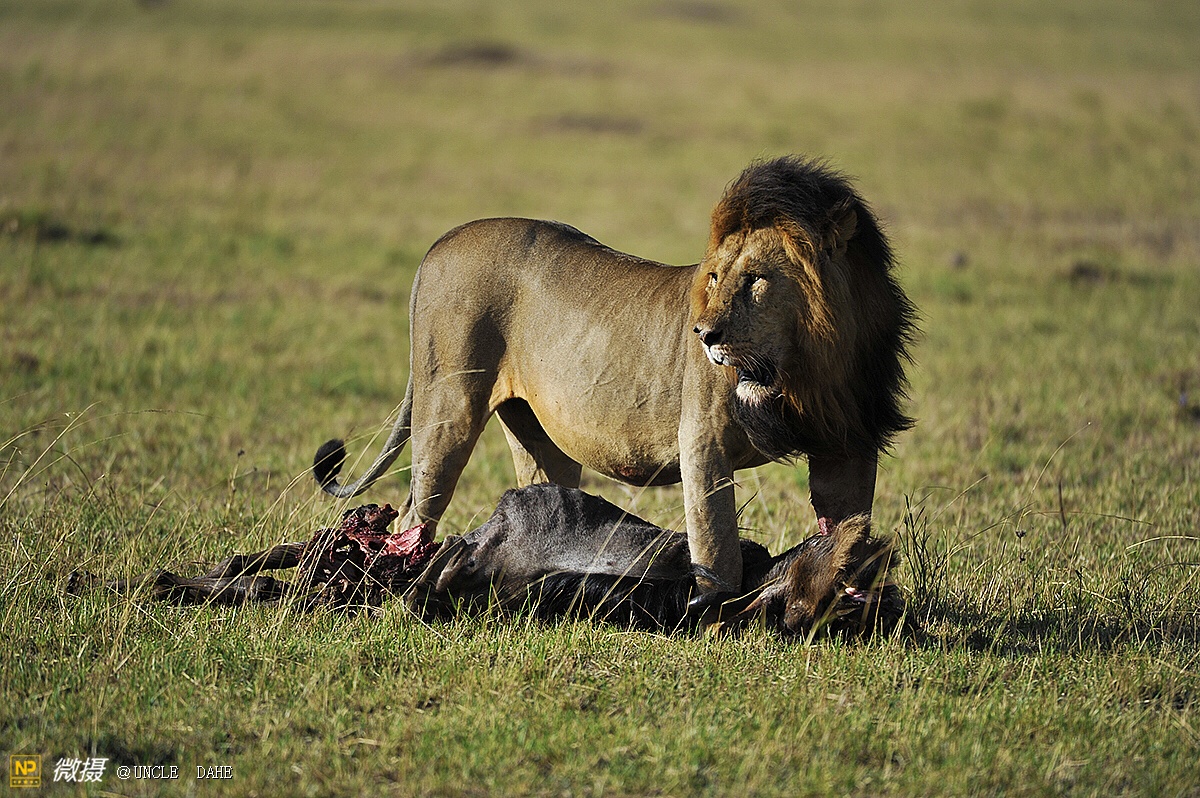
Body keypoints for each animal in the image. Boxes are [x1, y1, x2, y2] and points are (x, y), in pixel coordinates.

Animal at [313, 156, 916, 602]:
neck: (808, 369)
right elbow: (718, 550)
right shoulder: (702, 442)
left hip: (536, 435)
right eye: (715, 277)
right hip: (448, 405)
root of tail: (442, 242)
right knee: (413, 517)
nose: (703, 334)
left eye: (756, 280)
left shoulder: (848, 443)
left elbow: (848, 527)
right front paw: (717, 617)